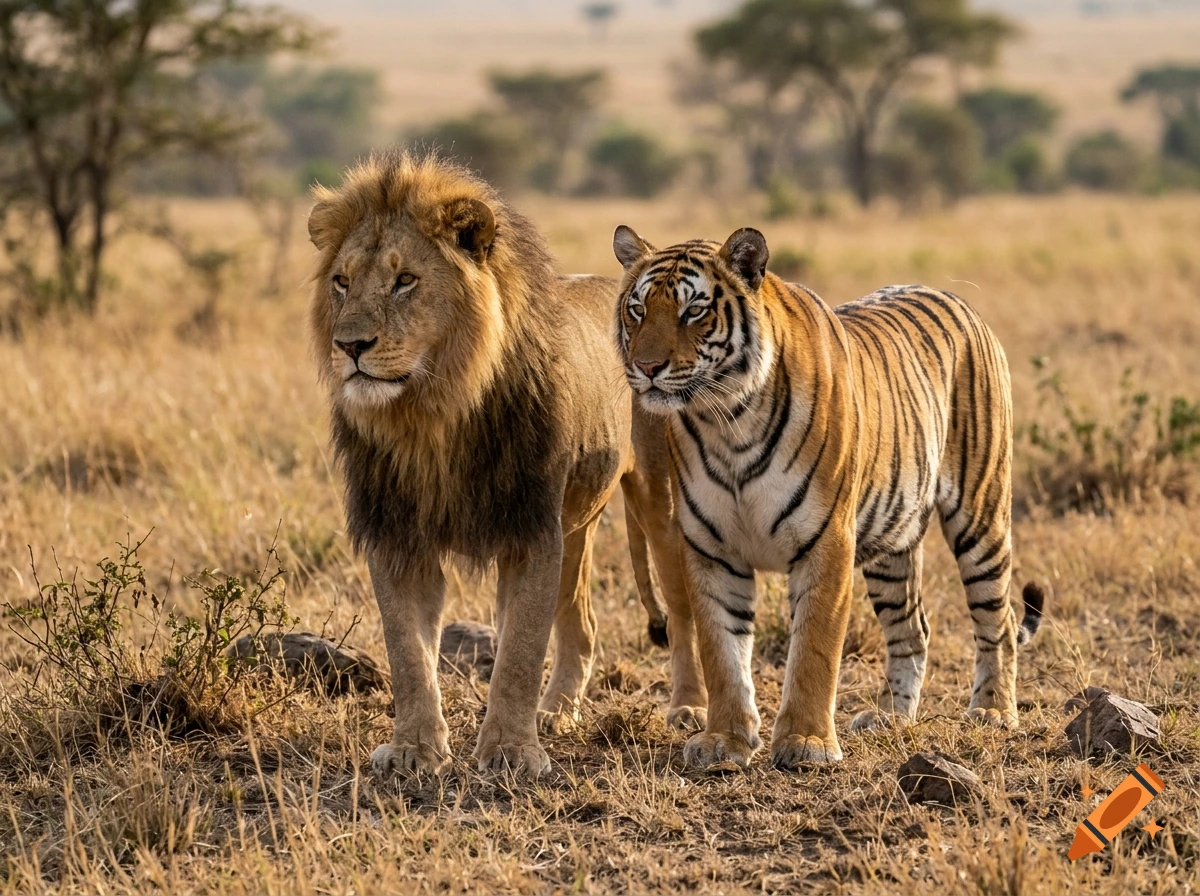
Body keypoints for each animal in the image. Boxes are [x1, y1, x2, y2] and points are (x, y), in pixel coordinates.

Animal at [307, 150, 707, 777]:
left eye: (405, 281)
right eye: (341, 282)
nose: (349, 346)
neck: (434, 414)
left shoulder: (529, 529)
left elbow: (519, 648)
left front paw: (511, 751)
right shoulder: (397, 534)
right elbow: (407, 650)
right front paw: (413, 748)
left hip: (660, 506)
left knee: (683, 610)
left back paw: (688, 709)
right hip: (576, 521)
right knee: (583, 623)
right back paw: (558, 711)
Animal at [611, 224, 1044, 770]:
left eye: (693, 310)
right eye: (637, 309)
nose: (647, 367)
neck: (727, 424)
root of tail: (957, 298)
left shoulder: (826, 540)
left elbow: (814, 649)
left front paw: (806, 742)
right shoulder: (711, 548)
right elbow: (721, 650)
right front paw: (724, 740)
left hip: (980, 515)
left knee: (999, 619)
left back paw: (992, 711)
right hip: (892, 543)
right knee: (912, 628)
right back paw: (891, 717)